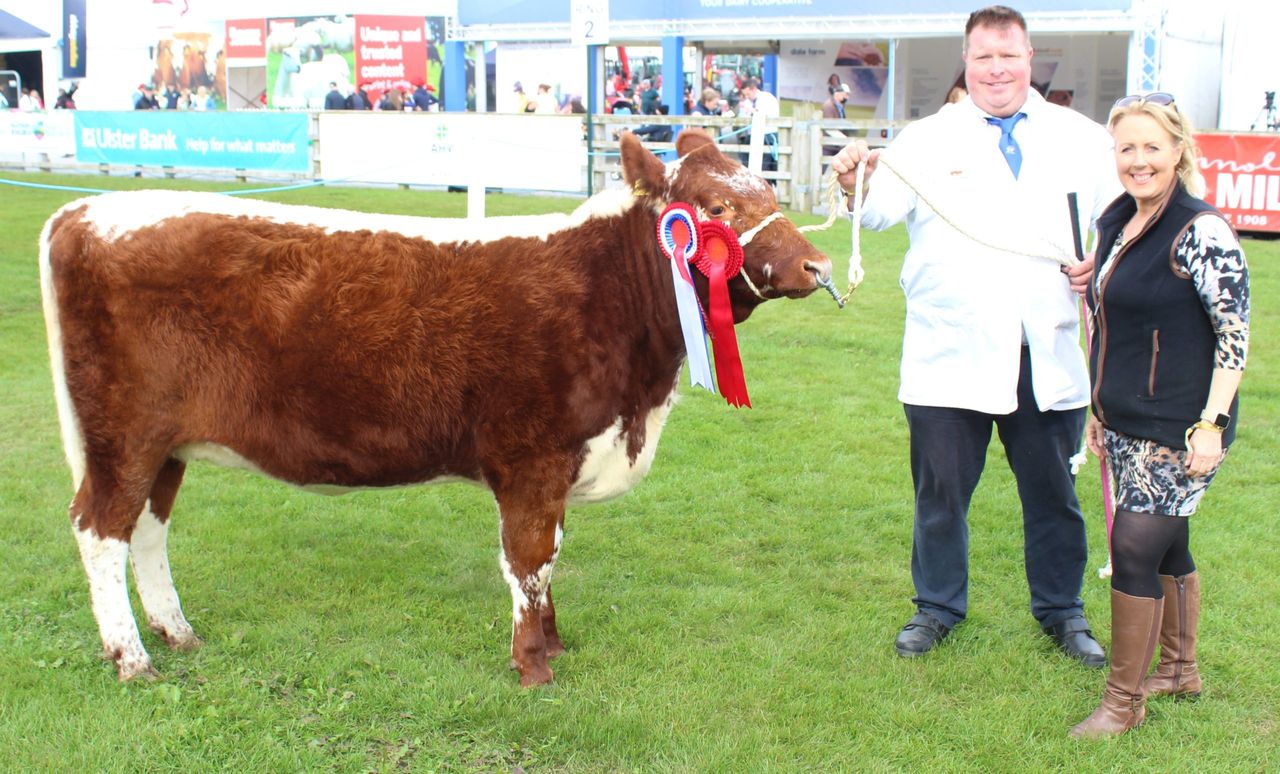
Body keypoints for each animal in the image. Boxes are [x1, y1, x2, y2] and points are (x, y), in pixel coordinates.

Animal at [39, 130, 832, 687]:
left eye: (768, 190)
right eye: (716, 209)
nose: (817, 266)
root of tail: (83, 211)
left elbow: (552, 560)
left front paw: (555, 641)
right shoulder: (532, 457)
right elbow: (531, 560)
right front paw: (533, 666)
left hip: (164, 443)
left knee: (148, 528)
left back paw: (176, 633)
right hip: (124, 434)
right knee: (100, 528)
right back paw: (133, 659)